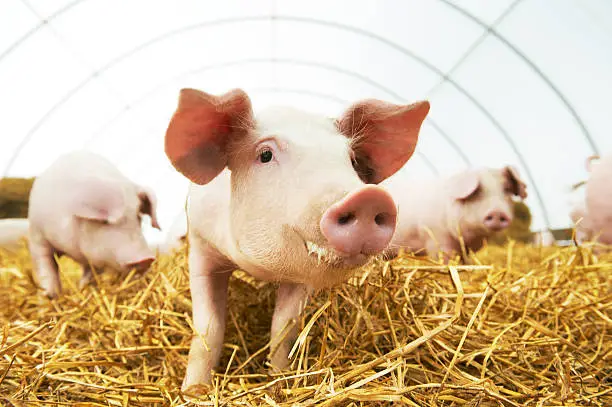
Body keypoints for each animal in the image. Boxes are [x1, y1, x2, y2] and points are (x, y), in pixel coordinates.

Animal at [27, 151, 161, 298]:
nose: (146, 258)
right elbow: (46, 268)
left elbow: (91, 274)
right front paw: (49, 296)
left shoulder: (96, 259)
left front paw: (85, 291)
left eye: (138, 217)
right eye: (105, 221)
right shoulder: (38, 236)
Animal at [164, 88, 430, 392]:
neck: (261, 269)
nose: (368, 198)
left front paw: (278, 380)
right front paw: (195, 392)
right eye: (265, 155)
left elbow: (284, 327)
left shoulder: (302, 277)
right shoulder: (200, 246)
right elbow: (208, 327)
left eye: (351, 160)